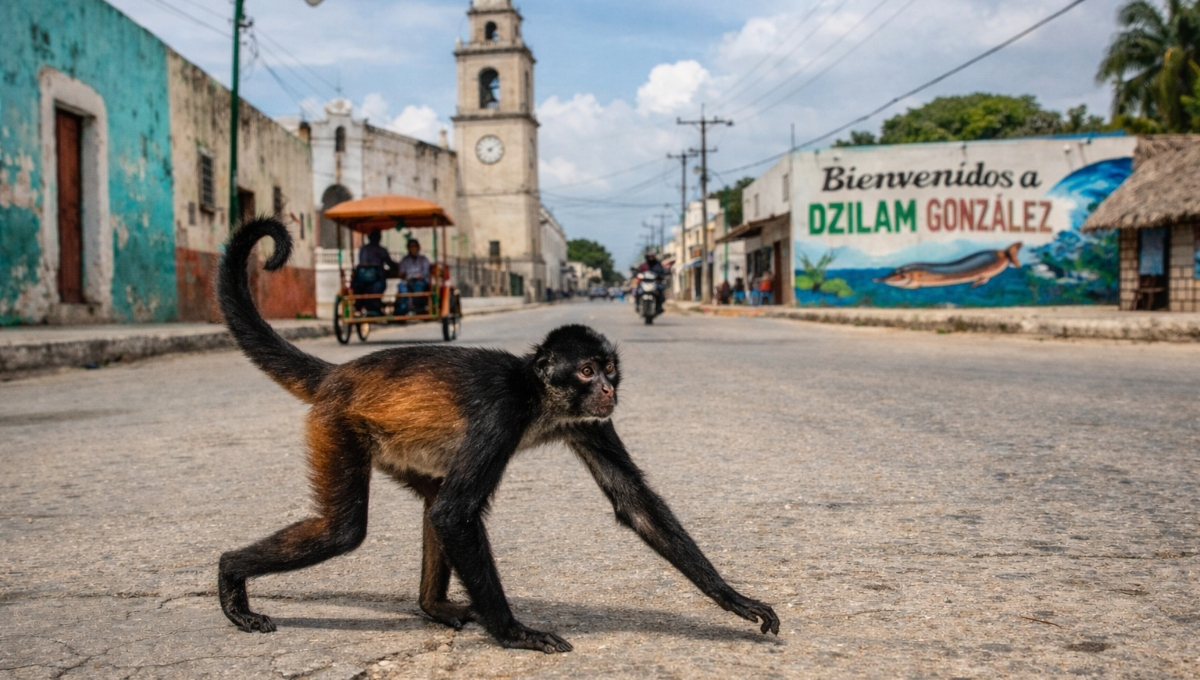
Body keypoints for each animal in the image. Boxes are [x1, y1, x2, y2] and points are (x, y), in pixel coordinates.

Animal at [214, 217, 779, 653]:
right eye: (586, 371)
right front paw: (513, 633)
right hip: (338, 425)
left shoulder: (586, 420)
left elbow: (633, 500)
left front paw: (734, 599)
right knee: (346, 529)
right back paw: (229, 572)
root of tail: (339, 376)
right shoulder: (501, 414)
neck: (536, 393)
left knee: (429, 498)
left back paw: (432, 606)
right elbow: (455, 514)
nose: (608, 389)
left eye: (609, 370)